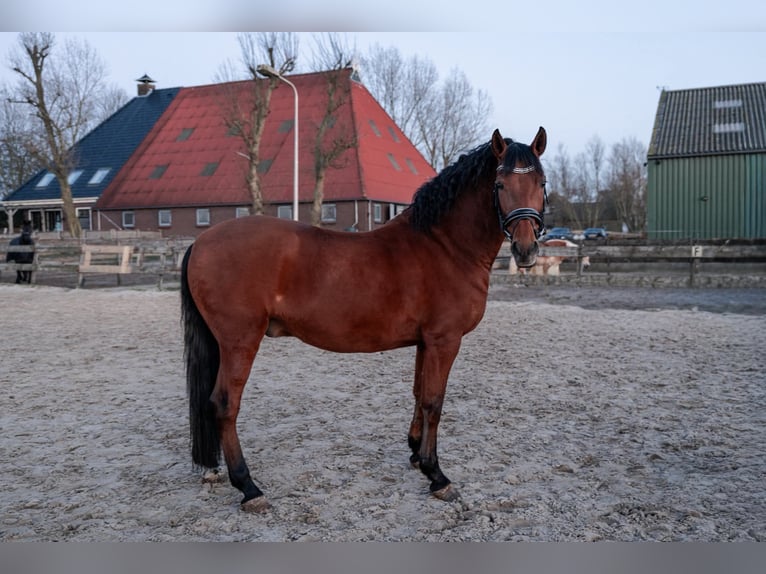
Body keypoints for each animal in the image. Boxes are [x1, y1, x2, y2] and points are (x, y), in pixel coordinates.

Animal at [181, 127, 548, 512]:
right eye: (500, 184)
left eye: (541, 182)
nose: (525, 250)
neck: (445, 246)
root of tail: (201, 241)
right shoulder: (444, 340)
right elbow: (434, 401)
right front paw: (436, 475)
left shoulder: (425, 342)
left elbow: (419, 393)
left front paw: (416, 453)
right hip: (240, 341)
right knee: (225, 404)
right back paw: (248, 486)